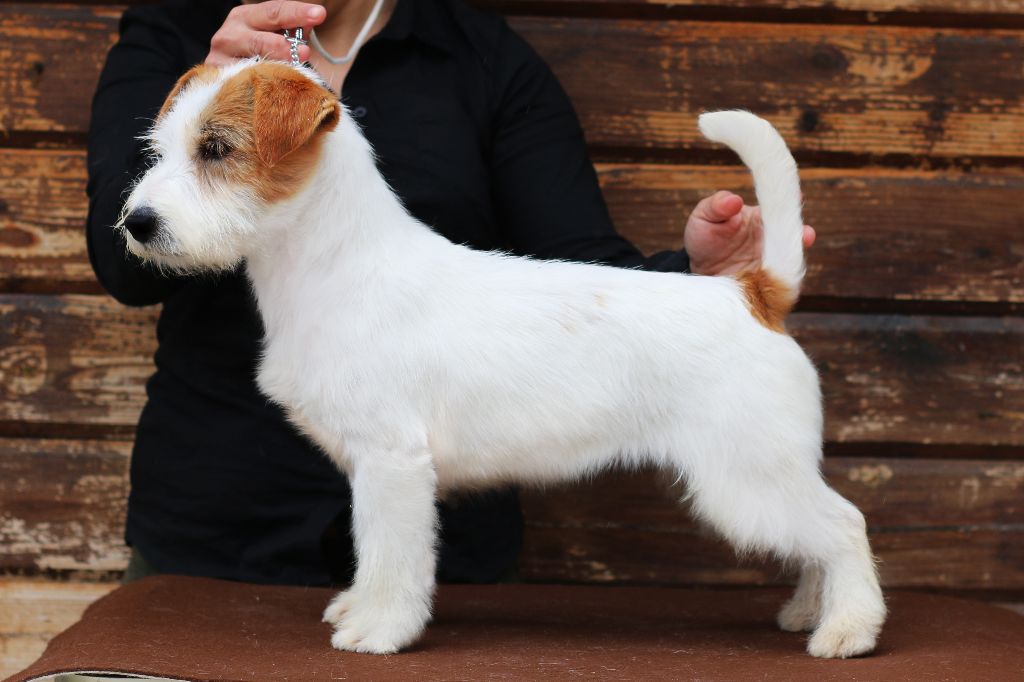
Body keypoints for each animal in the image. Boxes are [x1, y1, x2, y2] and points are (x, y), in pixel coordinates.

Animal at [119, 59, 886, 658]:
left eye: (216, 149)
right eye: (159, 149)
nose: (136, 223)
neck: (336, 265)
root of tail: (754, 293)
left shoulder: (393, 463)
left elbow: (394, 555)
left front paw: (380, 630)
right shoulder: (370, 469)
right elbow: (370, 549)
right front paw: (359, 606)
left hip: (748, 477)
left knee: (844, 526)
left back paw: (847, 630)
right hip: (767, 474)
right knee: (819, 540)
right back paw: (808, 612)